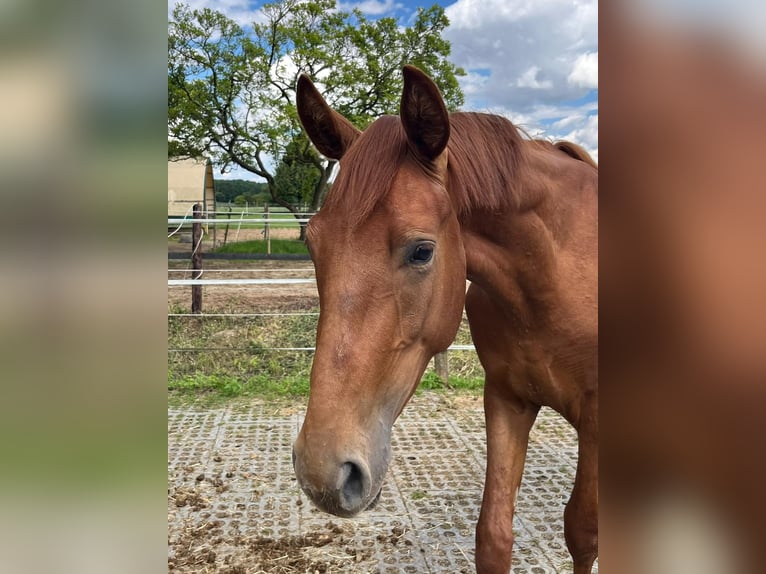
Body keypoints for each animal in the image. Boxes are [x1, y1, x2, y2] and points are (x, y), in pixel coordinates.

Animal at [294, 65, 600, 572]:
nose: (323, 472)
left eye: (422, 251)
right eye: (313, 244)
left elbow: (583, 533)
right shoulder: (507, 399)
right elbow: (493, 535)